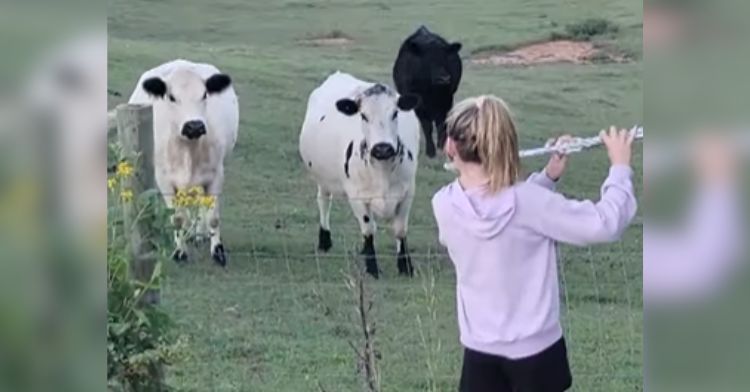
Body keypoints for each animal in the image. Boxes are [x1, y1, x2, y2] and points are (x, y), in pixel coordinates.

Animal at [126, 59, 238, 266]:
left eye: (204, 94)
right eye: (171, 97)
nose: (194, 125)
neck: (189, 150)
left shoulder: (216, 175)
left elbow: (213, 217)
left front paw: (218, 251)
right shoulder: (165, 180)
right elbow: (177, 218)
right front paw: (180, 251)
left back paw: (199, 233)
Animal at [300, 71, 424, 278]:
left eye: (395, 113)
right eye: (364, 116)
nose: (382, 148)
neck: (382, 171)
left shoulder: (408, 192)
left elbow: (400, 229)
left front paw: (405, 266)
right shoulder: (356, 195)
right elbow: (368, 229)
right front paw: (372, 267)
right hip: (323, 179)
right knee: (324, 202)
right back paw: (325, 240)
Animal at [394, 25, 464, 158]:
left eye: (446, 57)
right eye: (427, 59)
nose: (444, 78)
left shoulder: (446, 102)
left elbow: (441, 124)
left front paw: (441, 146)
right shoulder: (418, 104)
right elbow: (427, 127)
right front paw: (430, 151)